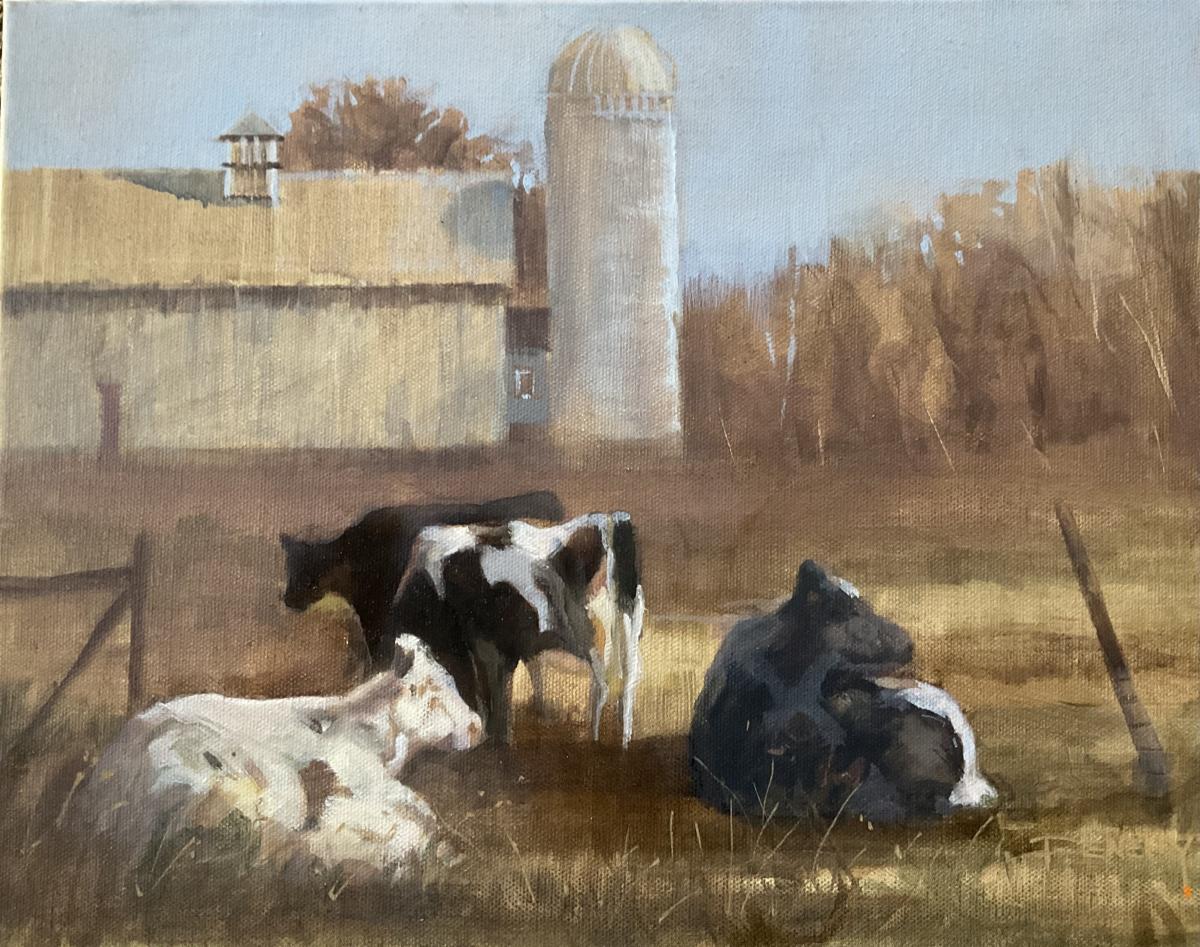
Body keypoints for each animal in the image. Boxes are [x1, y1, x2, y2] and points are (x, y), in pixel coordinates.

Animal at [74, 636, 483, 885]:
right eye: (430, 692)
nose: (478, 726)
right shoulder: (364, 779)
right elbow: (422, 812)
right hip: (266, 791)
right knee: (267, 856)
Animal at [390, 512, 645, 747]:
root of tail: (609, 519)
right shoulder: (512, 646)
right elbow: (523, 679)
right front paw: (537, 716)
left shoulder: (490, 648)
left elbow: (494, 695)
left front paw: (498, 739)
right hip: (626, 624)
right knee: (627, 682)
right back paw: (623, 739)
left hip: (590, 633)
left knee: (604, 685)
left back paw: (596, 740)